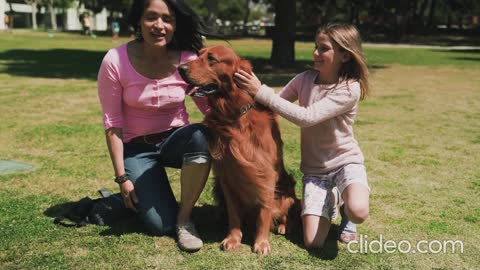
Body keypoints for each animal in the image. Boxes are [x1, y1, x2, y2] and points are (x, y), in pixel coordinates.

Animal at [179, 44, 298, 255]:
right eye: (198, 54)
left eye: (211, 58)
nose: (180, 68)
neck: (233, 116)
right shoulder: (227, 175)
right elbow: (234, 212)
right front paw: (233, 238)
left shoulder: (265, 172)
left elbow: (265, 211)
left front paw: (261, 242)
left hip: (288, 187)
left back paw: (284, 226)